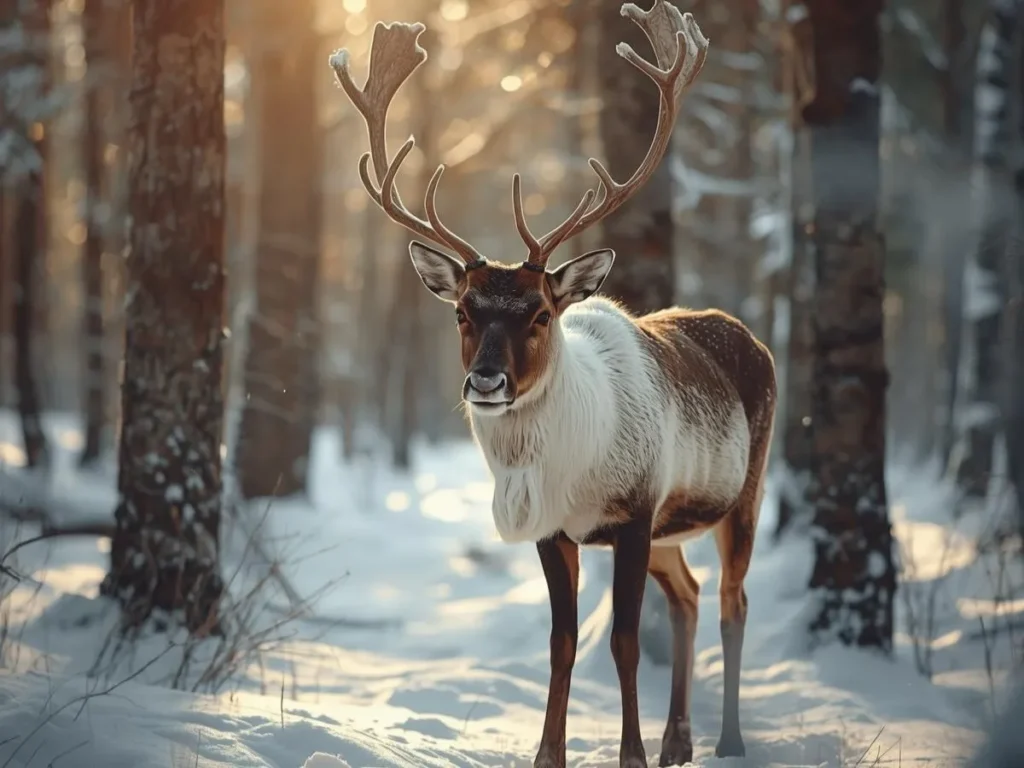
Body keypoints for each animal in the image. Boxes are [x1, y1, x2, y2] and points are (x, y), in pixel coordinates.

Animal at [329, 3, 776, 766]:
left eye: (540, 312)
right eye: (462, 311)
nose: (486, 380)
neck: (570, 466)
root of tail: (751, 336)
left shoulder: (635, 512)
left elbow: (623, 642)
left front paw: (629, 756)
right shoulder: (553, 531)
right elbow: (561, 644)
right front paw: (549, 755)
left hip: (743, 491)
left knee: (732, 601)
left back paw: (729, 740)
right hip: (672, 530)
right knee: (687, 596)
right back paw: (679, 741)